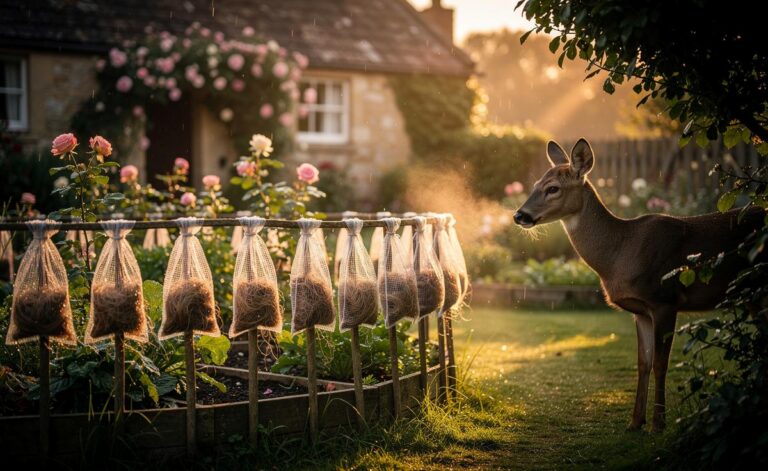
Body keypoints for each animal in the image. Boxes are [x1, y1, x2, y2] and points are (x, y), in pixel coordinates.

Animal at [513, 138, 764, 432]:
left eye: (553, 188)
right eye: (535, 185)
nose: (519, 215)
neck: (621, 252)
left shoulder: (665, 299)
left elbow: (660, 363)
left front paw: (658, 424)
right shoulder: (640, 310)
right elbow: (643, 362)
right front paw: (635, 422)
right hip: (752, 293)